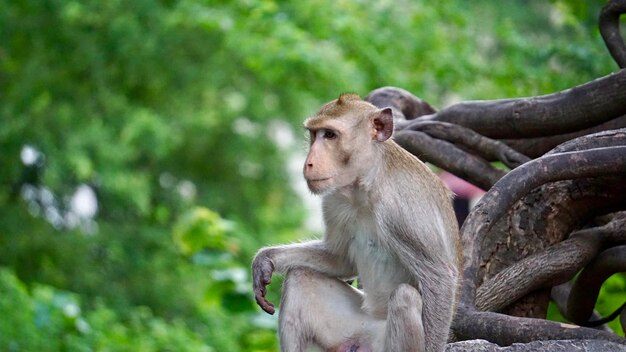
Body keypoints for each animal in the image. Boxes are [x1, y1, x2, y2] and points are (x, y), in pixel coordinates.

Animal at [250, 93, 458, 352]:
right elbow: (340, 259)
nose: (308, 163)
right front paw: (265, 259)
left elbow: (440, 278)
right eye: (314, 134)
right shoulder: (334, 200)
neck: (367, 184)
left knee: (404, 297)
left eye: (330, 135)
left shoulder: (404, 209)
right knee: (300, 276)